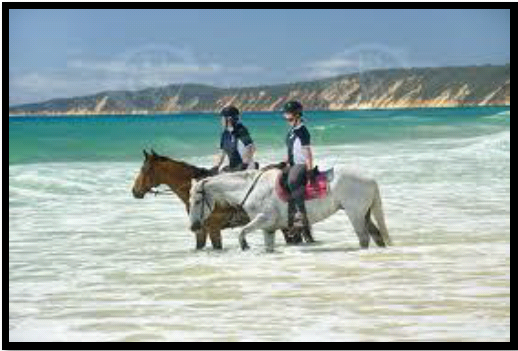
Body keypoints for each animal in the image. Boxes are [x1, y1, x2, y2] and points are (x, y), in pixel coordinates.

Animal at [189, 168, 392, 253]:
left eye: (197, 201)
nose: (193, 227)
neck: (251, 188)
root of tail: (370, 179)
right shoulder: (268, 228)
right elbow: (268, 247)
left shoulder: (262, 219)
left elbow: (242, 232)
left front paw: (245, 245)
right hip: (365, 214)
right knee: (376, 236)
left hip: (355, 214)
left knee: (364, 238)